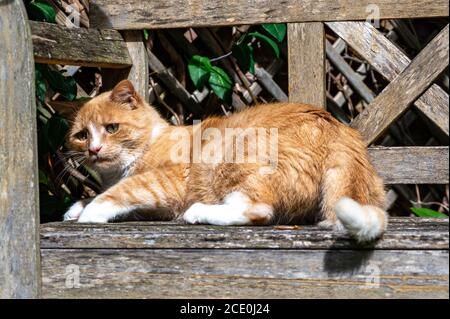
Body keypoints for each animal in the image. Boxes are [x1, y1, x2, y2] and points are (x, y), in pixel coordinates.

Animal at [63, 79, 386, 242]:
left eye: (111, 128)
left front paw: (89, 211)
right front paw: (76, 208)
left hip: (234, 162)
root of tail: (339, 130)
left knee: (258, 210)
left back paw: (198, 212)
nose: (93, 149)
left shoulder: (168, 181)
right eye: (81, 135)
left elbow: (118, 192)